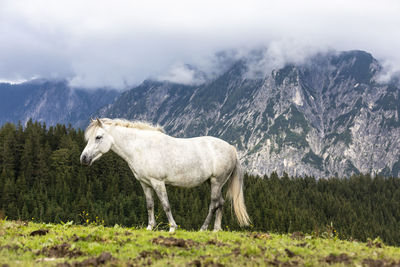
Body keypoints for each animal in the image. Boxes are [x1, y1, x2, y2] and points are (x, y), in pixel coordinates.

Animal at [79, 118, 250, 232]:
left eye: (98, 137)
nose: (84, 158)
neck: (142, 147)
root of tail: (231, 148)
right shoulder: (145, 184)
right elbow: (150, 205)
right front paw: (149, 227)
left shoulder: (158, 182)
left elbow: (165, 205)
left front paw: (172, 228)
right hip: (213, 183)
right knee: (220, 203)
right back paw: (215, 230)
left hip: (216, 182)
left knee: (213, 204)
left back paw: (203, 228)